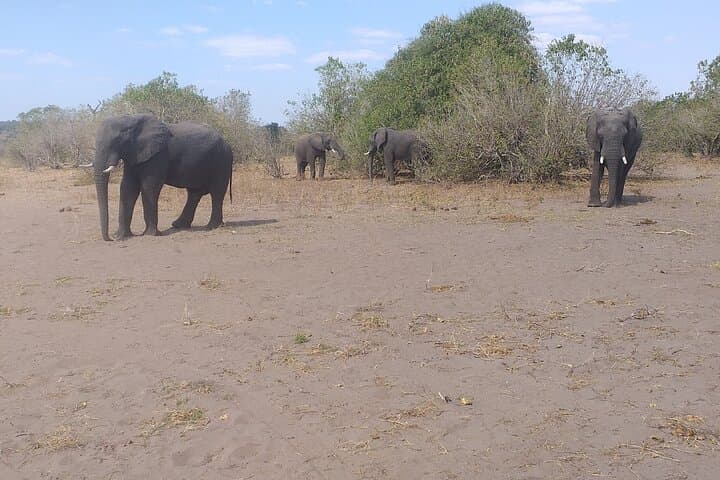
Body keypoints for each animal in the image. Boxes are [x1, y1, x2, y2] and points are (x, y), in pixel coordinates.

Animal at [93, 114, 233, 241]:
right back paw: (178, 225)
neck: (133, 120)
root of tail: (227, 143)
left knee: (216, 193)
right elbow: (127, 188)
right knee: (194, 193)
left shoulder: (158, 155)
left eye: (118, 141)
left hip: (221, 161)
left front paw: (150, 235)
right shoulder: (134, 155)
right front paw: (121, 236)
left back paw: (212, 227)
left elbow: (149, 187)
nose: (110, 239)